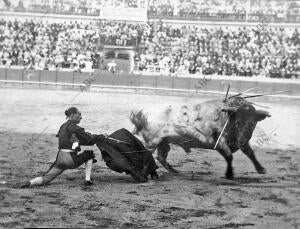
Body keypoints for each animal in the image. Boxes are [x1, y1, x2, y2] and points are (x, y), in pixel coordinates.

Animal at [130, 95, 270, 179]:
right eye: (238, 122)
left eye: (253, 124)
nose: (241, 140)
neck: (228, 117)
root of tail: (144, 114)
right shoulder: (219, 142)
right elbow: (229, 156)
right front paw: (229, 174)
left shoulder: (242, 141)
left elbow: (250, 153)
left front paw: (261, 169)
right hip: (153, 141)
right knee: (147, 154)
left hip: (164, 142)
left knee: (161, 157)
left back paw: (174, 171)